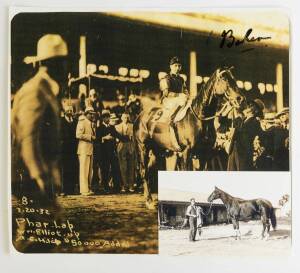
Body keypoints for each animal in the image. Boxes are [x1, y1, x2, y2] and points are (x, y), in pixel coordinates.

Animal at [135, 67, 245, 207]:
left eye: (234, 78)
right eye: (224, 79)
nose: (240, 98)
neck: (199, 117)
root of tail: (140, 116)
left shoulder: (205, 154)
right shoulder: (186, 152)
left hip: (157, 151)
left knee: (149, 170)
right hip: (143, 148)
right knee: (144, 171)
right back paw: (149, 200)